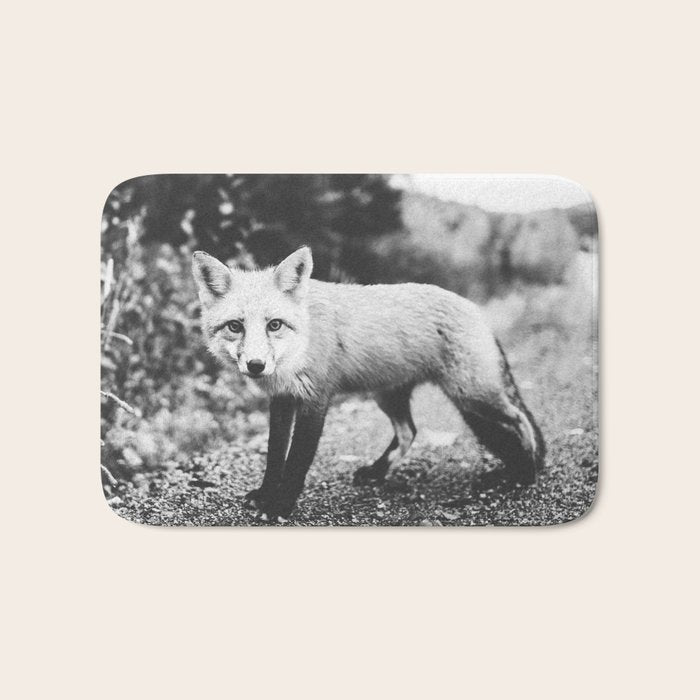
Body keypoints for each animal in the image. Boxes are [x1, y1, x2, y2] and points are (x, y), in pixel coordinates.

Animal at [193, 246, 545, 521]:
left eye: (275, 325)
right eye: (235, 326)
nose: (256, 365)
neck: (300, 344)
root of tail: (475, 308)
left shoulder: (316, 399)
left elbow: (296, 462)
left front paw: (280, 506)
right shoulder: (282, 400)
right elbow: (274, 456)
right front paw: (266, 494)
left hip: (472, 394)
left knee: (520, 419)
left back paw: (525, 473)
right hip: (389, 396)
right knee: (408, 432)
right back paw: (377, 472)